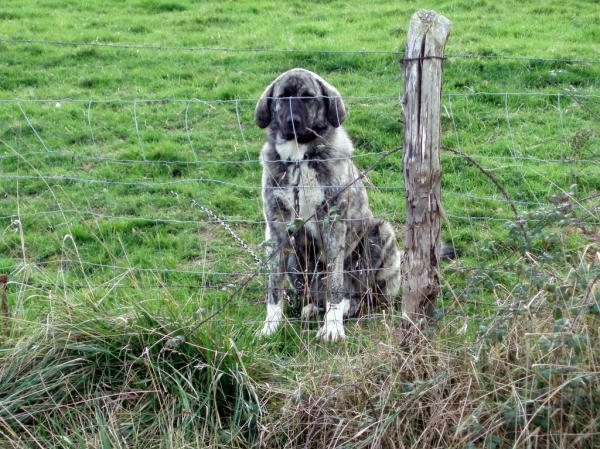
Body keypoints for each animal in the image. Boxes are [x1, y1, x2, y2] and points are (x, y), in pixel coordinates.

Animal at [254, 67, 404, 340]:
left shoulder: (332, 223)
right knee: (316, 294)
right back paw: (313, 307)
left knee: (361, 294)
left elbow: (336, 282)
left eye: (307, 97)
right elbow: (274, 287)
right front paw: (271, 325)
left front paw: (332, 327)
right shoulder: (277, 228)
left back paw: (344, 309)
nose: (293, 122)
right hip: (295, 261)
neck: (299, 158)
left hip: (379, 235)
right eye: (283, 97)